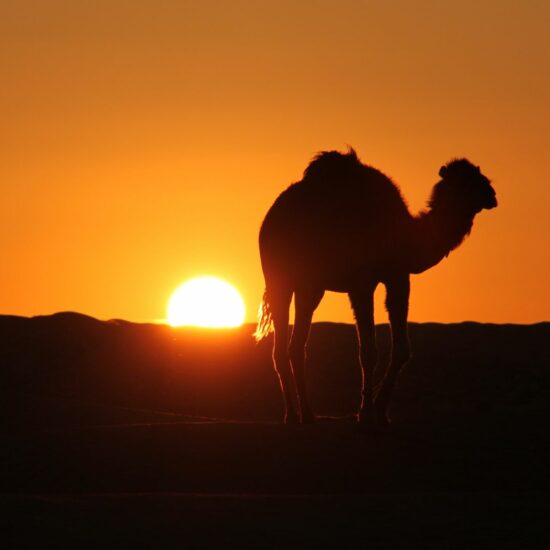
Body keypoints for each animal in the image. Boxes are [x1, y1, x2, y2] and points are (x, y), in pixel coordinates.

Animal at [256, 149, 498, 430]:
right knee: (281, 346)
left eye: (479, 173)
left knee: (295, 346)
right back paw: (295, 415)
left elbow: (402, 349)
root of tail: (270, 219)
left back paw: (306, 414)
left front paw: (382, 412)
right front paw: (366, 414)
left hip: (311, 286)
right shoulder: (361, 283)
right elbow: (368, 351)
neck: (403, 234)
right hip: (280, 278)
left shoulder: (398, 276)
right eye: (464, 181)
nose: (491, 194)